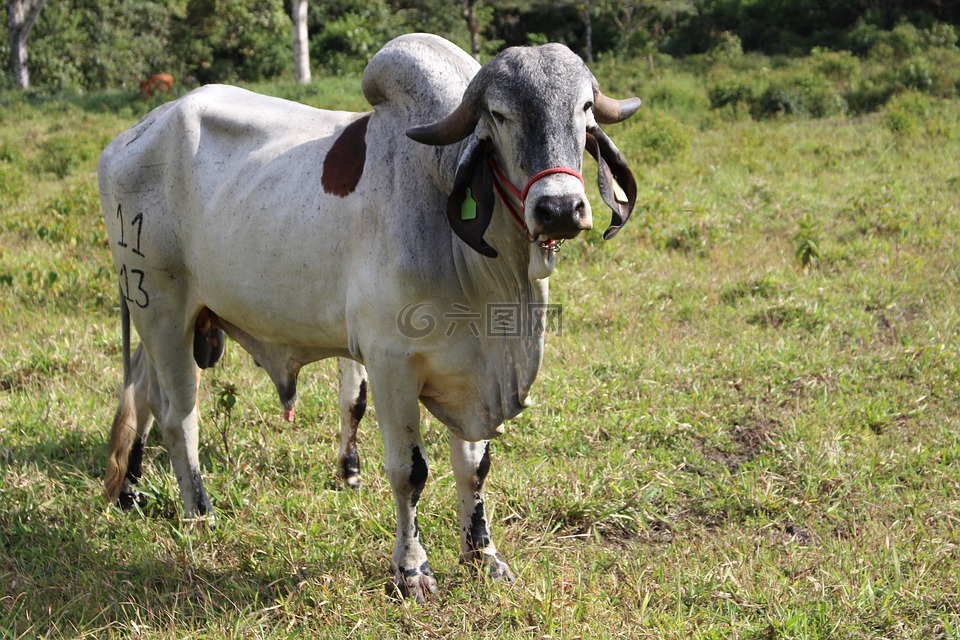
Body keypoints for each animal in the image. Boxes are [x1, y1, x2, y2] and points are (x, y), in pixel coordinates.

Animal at [97, 32, 640, 596]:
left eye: (583, 109)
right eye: (498, 113)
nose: (560, 209)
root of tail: (132, 135)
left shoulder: (473, 372)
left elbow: (474, 468)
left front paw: (483, 555)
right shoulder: (389, 363)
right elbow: (409, 472)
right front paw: (412, 569)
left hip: (172, 314)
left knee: (143, 391)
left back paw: (130, 488)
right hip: (158, 305)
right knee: (179, 416)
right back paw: (199, 515)